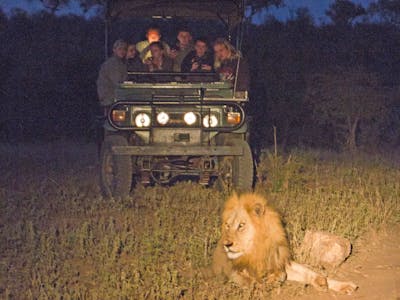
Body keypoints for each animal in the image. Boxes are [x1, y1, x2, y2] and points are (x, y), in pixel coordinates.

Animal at [214, 193, 358, 294]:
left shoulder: (280, 261)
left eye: (241, 225)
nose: (226, 244)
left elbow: (306, 272)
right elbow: (247, 279)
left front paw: (325, 282)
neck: (259, 247)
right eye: (227, 225)